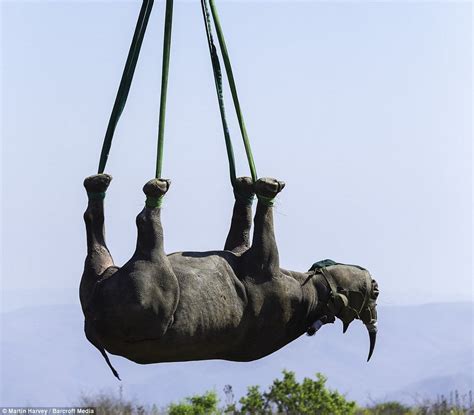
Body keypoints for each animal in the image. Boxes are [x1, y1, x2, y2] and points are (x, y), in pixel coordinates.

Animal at [79, 176, 380, 380]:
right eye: (373, 292)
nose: (375, 284)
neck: (313, 296)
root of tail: (93, 323)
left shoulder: (266, 272)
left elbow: (264, 239)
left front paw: (265, 190)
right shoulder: (244, 253)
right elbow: (241, 230)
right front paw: (247, 187)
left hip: (145, 294)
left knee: (146, 234)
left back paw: (148, 193)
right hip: (102, 282)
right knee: (98, 244)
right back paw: (98, 187)